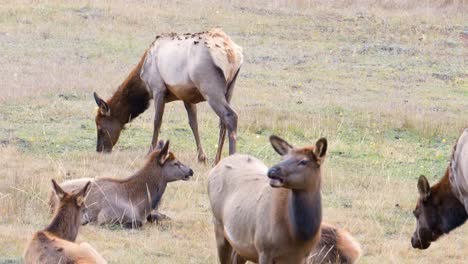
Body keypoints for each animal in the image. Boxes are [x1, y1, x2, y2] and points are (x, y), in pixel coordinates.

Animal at [49, 140, 192, 229]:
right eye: (175, 163)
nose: (191, 171)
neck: (140, 203)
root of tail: (51, 195)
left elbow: (162, 217)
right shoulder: (105, 217)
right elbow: (139, 223)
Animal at [93, 29, 243, 165]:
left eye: (100, 127)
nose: (100, 150)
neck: (142, 81)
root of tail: (232, 53)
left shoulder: (158, 88)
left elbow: (157, 121)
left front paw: (149, 152)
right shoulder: (186, 95)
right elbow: (193, 123)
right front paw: (202, 157)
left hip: (209, 87)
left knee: (230, 116)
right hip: (230, 88)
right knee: (222, 122)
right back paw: (217, 160)